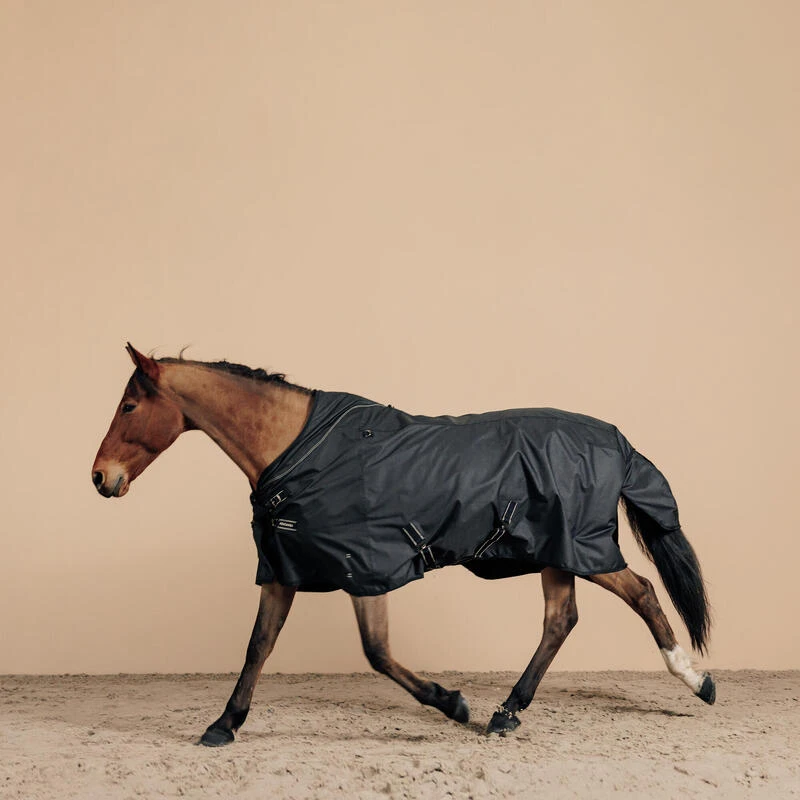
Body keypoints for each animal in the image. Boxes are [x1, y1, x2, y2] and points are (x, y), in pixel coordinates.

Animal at [92, 344, 715, 746]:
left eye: (128, 406)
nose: (100, 478)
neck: (298, 448)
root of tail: (615, 439)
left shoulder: (366, 567)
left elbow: (377, 652)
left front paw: (452, 703)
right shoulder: (284, 567)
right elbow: (258, 646)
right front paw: (225, 724)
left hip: (580, 548)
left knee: (641, 592)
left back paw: (696, 680)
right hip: (554, 552)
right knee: (561, 621)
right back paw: (508, 712)